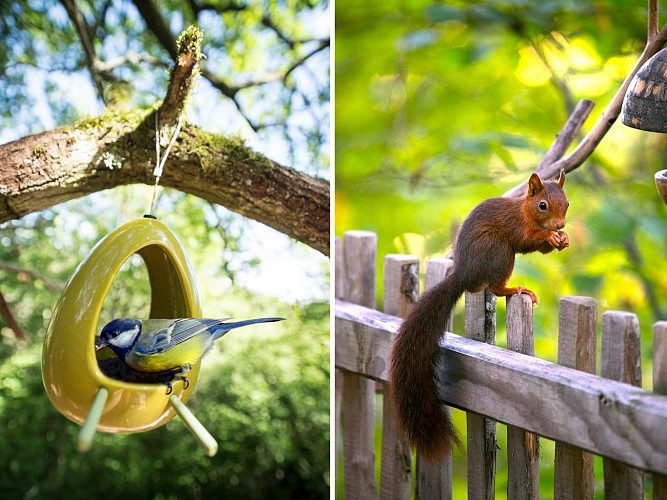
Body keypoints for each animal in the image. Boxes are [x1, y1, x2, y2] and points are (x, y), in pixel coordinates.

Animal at [388, 170, 572, 462]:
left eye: (566, 203)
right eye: (543, 205)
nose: (560, 225)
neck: (525, 211)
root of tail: (464, 273)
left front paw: (562, 239)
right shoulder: (516, 227)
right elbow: (527, 239)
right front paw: (552, 238)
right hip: (499, 250)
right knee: (495, 286)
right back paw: (517, 289)